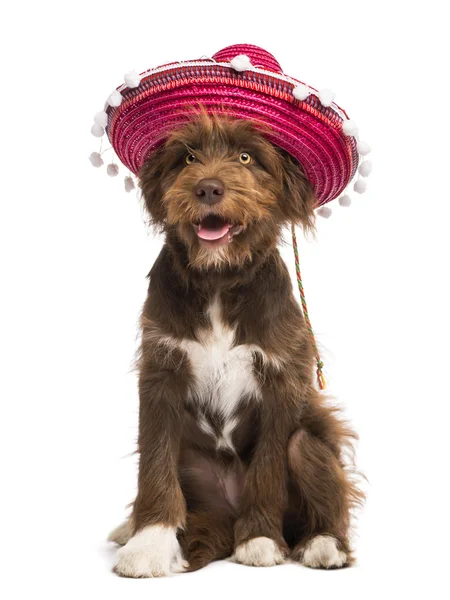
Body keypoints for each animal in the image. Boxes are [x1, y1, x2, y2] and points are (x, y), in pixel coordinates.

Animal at [108, 110, 362, 576]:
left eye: (246, 156)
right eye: (188, 157)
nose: (208, 188)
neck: (218, 280)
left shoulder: (282, 378)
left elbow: (268, 466)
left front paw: (260, 538)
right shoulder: (160, 370)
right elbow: (154, 463)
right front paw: (149, 543)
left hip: (310, 444)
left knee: (313, 472)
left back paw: (323, 543)